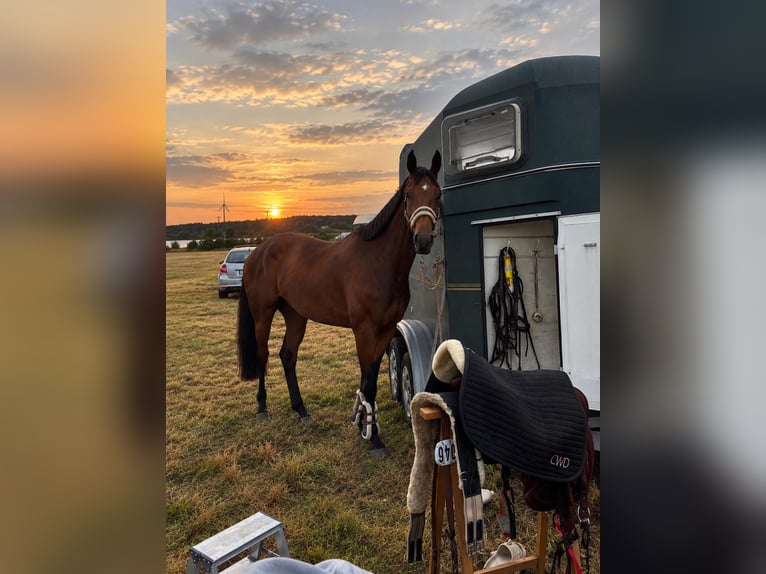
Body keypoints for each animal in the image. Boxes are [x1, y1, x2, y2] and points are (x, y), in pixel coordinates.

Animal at [237, 150, 442, 456]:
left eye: (437, 194)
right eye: (408, 194)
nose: (424, 239)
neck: (378, 262)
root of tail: (256, 252)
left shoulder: (385, 330)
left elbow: (368, 378)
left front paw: (362, 425)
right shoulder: (364, 330)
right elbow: (368, 382)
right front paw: (374, 438)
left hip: (296, 315)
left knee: (288, 355)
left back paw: (301, 410)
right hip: (263, 314)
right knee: (264, 354)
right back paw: (262, 407)